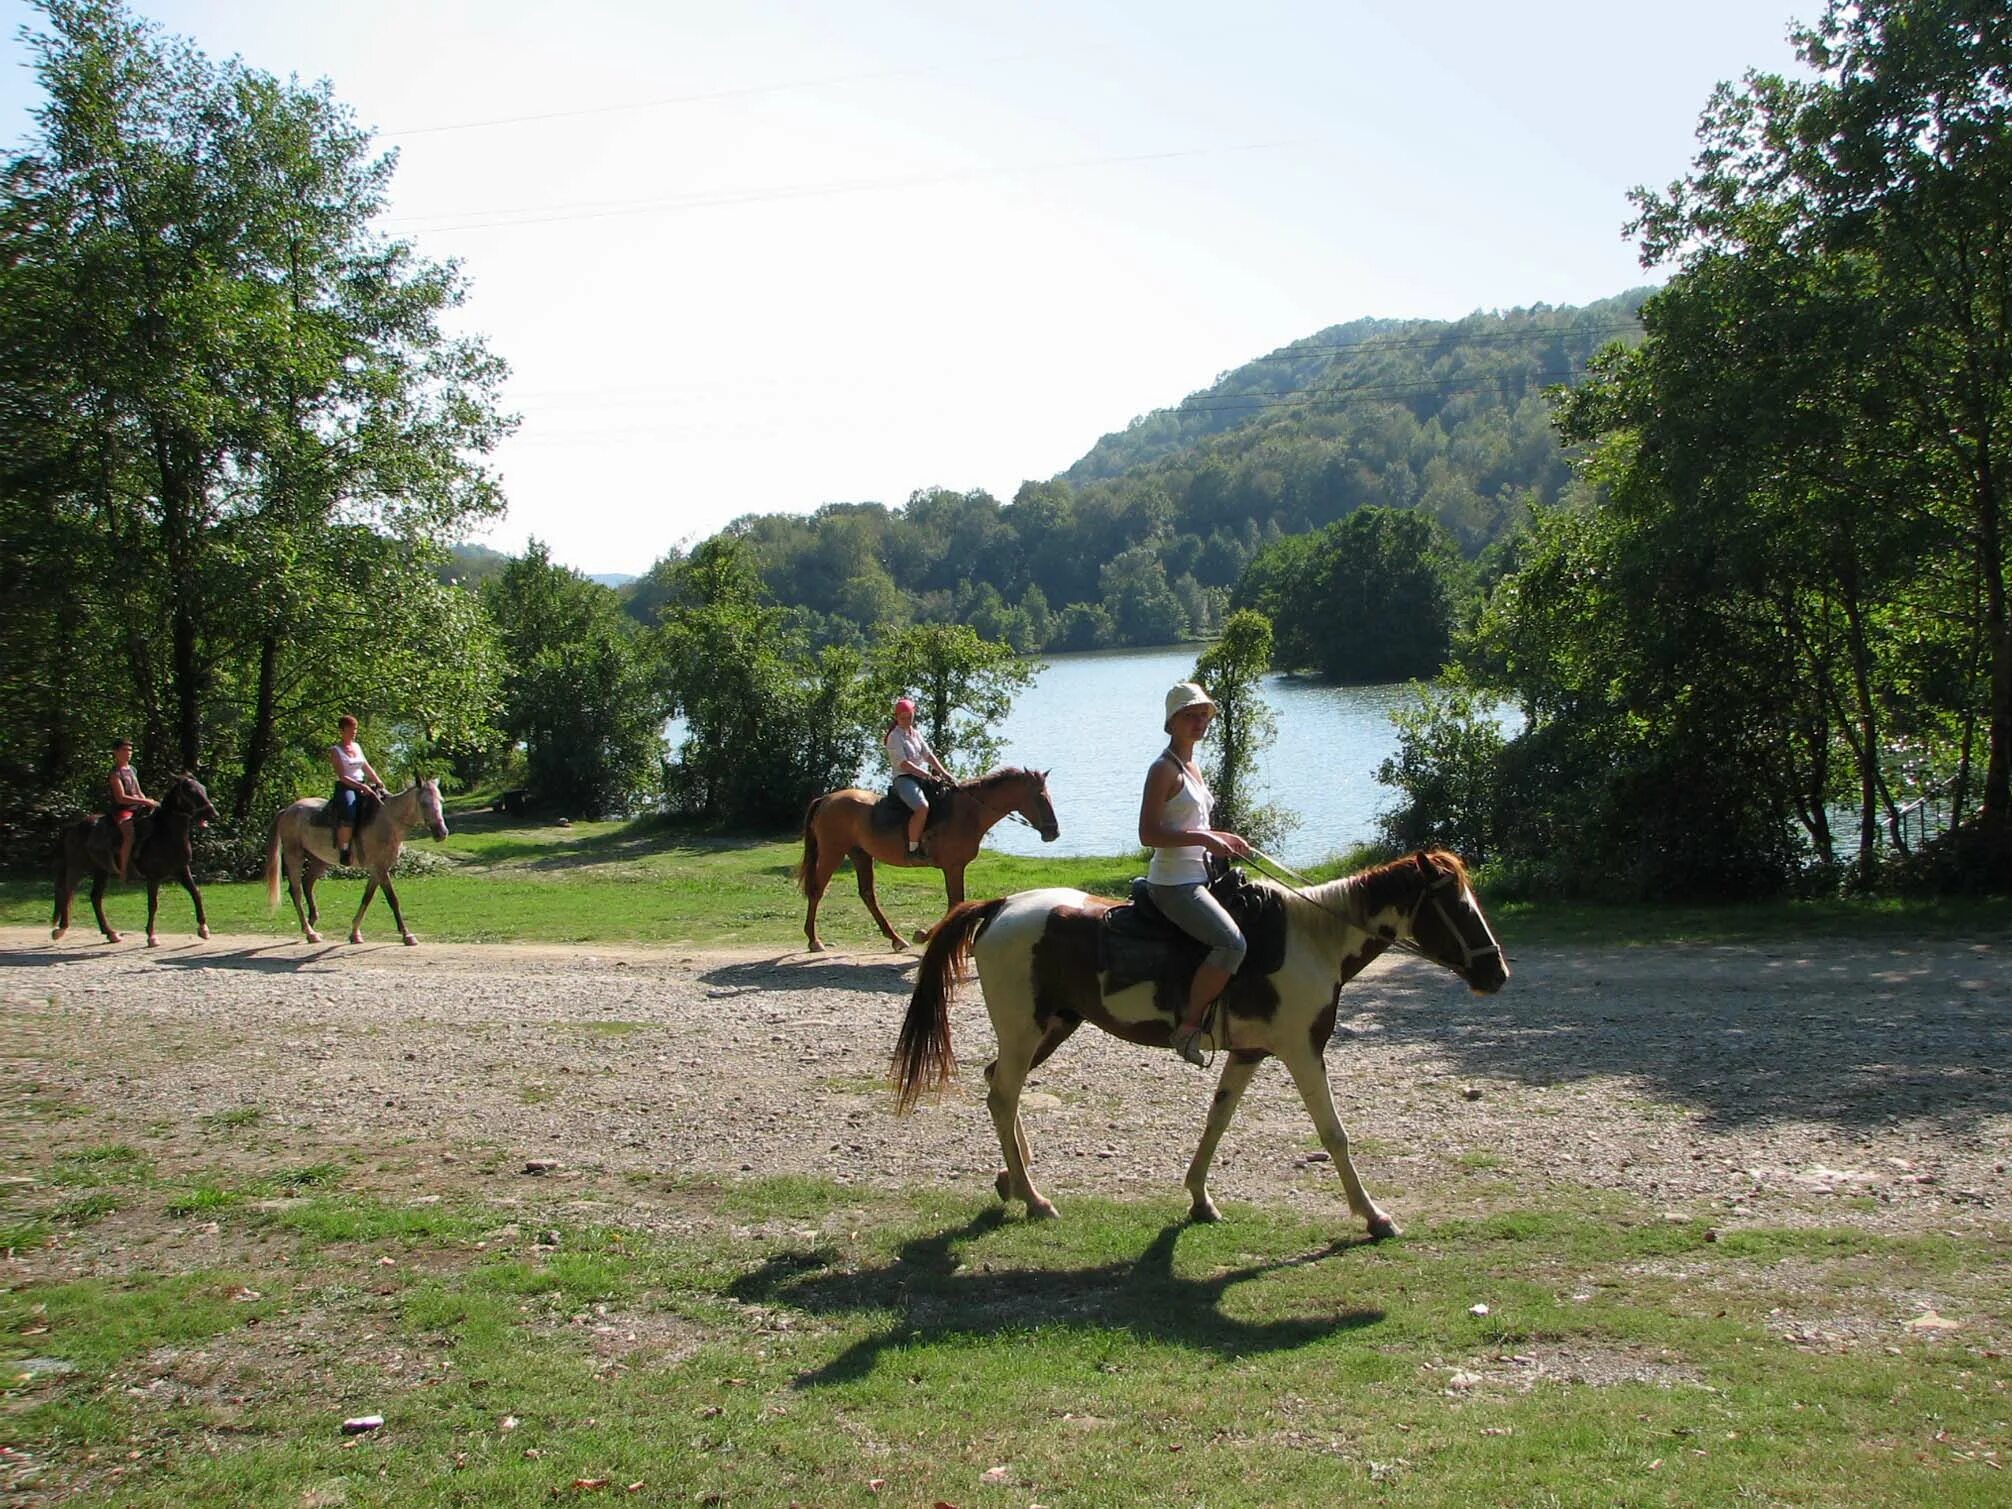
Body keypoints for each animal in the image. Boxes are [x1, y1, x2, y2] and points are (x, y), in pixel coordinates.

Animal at [51, 772, 220, 949]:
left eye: (203, 788)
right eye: (190, 791)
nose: (212, 813)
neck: (164, 833)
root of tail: (74, 826)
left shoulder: (182, 869)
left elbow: (196, 894)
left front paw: (203, 929)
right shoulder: (153, 876)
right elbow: (153, 904)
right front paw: (151, 936)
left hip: (101, 871)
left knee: (95, 897)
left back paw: (111, 933)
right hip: (76, 867)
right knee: (67, 892)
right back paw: (60, 930)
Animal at [263, 780, 448, 945]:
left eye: (440, 801)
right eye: (424, 803)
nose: (441, 832)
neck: (388, 820)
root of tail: (288, 810)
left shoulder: (377, 870)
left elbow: (367, 898)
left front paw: (355, 933)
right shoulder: (380, 869)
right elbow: (393, 900)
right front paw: (407, 935)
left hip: (320, 860)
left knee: (307, 883)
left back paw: (311, 924)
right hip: (294, 855)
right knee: (296, 891)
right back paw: (310, 932)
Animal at [792, 768, 1062, 957]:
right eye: (1039, 798)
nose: (1054, 832)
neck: (967, 812)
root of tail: (826, 799)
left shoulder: (956, 867)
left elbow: (957, 903)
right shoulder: (953, 867)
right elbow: (956, 903)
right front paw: (925, 936)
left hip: (860, 854)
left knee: (867, 894)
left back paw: (895, 939)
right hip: (833, 852)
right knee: (817, 890)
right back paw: (814, 940)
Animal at [897, 853, 1513, 1239]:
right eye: (1458, 907)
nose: (1498, 973)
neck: (1312, 940)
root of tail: (999, 906)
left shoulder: (1248, 1053)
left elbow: (1218, 1120)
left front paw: (1199, 1197)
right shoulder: (1302, 1049)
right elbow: (1333, 1134)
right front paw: (1374, 1216)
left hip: (1052, 1027)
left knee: (1001, 1087)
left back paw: (1013, 1179)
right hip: (1028, 1029)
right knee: (1003, 1095)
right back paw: (1035, 1197)